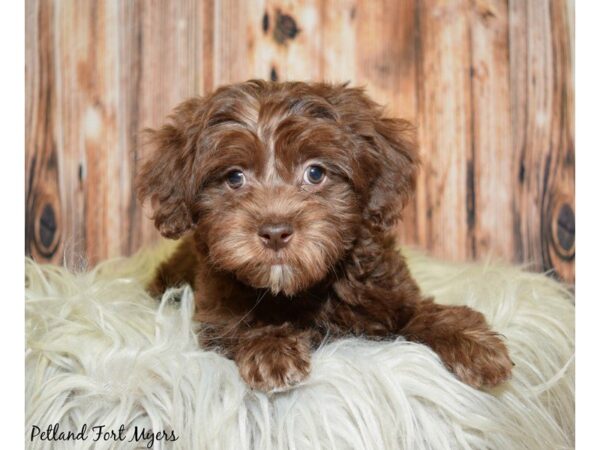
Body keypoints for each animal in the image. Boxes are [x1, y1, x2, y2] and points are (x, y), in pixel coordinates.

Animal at [136, 80, 510, 390]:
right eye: (234, 178)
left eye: (315, 173)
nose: (275, 232)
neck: (301, 289)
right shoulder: (216, 307)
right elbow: (238, 324)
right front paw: (271, 349)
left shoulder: (388, 291)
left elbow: (422, 310)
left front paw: (474, 343)